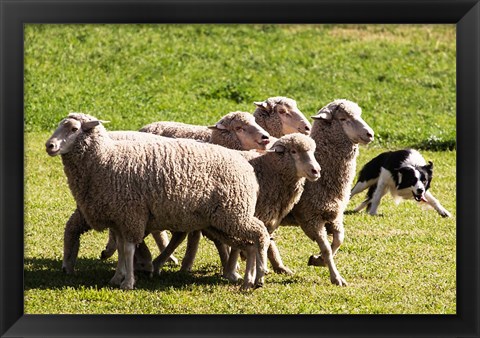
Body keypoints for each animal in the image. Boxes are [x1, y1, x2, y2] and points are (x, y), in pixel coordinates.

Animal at [47, 114, 272, 290]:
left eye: (74, 128)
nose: (49, 145)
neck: (105, 158)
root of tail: (247, 167)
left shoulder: (131, 214)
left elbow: (127, 248)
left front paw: (128, 282)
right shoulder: (120, 217)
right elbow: (121, 248)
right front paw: (118, 277)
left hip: (233, 214)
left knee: (260, 234)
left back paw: (259, 275)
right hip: (222, 220)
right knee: (249, 244)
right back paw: (248, 280)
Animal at [284, 99, 376, 286]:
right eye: (342, 118)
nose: (370, 134)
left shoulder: (334, 215)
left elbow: (339, 240)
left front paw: (317, 260)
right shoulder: (311, 218)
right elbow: (327, 248)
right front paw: (336, 277)